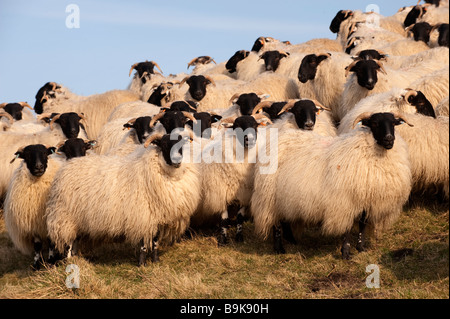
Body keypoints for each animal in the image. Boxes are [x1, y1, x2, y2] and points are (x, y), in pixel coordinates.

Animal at [45, 132, 200, 264]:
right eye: (164, 144)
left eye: (182, 144)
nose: (177, 161)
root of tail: (68, 165)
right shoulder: (142, 215)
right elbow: (144, 243)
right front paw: (142, 264)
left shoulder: (156, 217)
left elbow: (155, 241)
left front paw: (155, 261)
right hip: (65, 217)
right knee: (69, 242)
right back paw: (70, 262)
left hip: (78, 218)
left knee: (76, 240)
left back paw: (76, 259)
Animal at [251, 111, 414, 258]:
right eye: (374, 123)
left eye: (393, 123)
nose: (389, 139)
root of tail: (279, 139)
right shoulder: (345, 201)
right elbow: (347, 228)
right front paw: (346, 252)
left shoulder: (366, 199)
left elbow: (362, 225)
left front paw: (361, 248)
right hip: (269, 196)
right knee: (276, 223)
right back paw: (279, 248)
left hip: (284, 195)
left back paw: (292, 240)